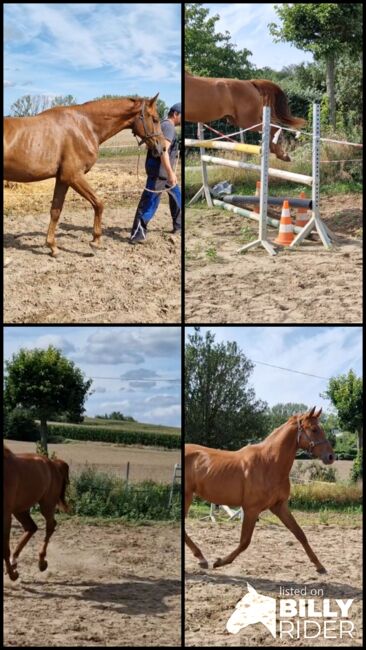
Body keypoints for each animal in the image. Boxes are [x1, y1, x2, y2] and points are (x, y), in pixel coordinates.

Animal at [3, 94, 164, 256]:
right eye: (155, 119)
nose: (161, 148)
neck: (84, 126)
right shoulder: (73, 176)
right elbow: (99, 203)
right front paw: (95, 241)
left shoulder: (62, 179)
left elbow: (55, 211)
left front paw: (52, 246)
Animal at [3, 446, 69, 576]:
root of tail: (53, 463)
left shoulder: (6, 515)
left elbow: (4, 548)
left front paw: (13, 576)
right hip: (20, 509)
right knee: (31, 527)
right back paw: (14, 562)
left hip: (46, 505)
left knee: (50, 526)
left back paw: (41, 562)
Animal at [186, 408, 334, 568]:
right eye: (314, 429)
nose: (331, 456)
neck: (269, 463)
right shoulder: (251, 509)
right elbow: (245, 542)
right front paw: (220, 562)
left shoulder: (279, 506)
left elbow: (300, 534)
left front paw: (320, 566)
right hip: (187, 496)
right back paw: (201, 558)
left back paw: (201, 558)